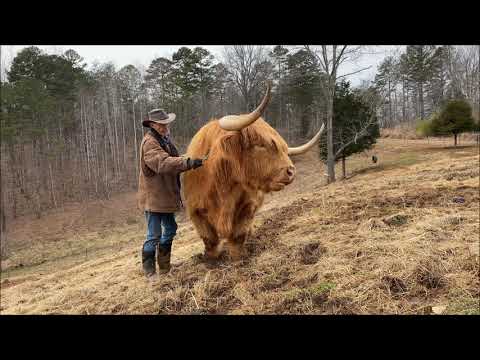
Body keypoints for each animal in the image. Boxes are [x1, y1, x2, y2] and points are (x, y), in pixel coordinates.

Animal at [182, 83, 324, 260]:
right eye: (259, 144)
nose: (291, 171)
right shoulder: (195, 210)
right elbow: (209, 239)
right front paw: (211, 259)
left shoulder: (248, 206)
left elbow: (238, 235)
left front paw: (238, 259)